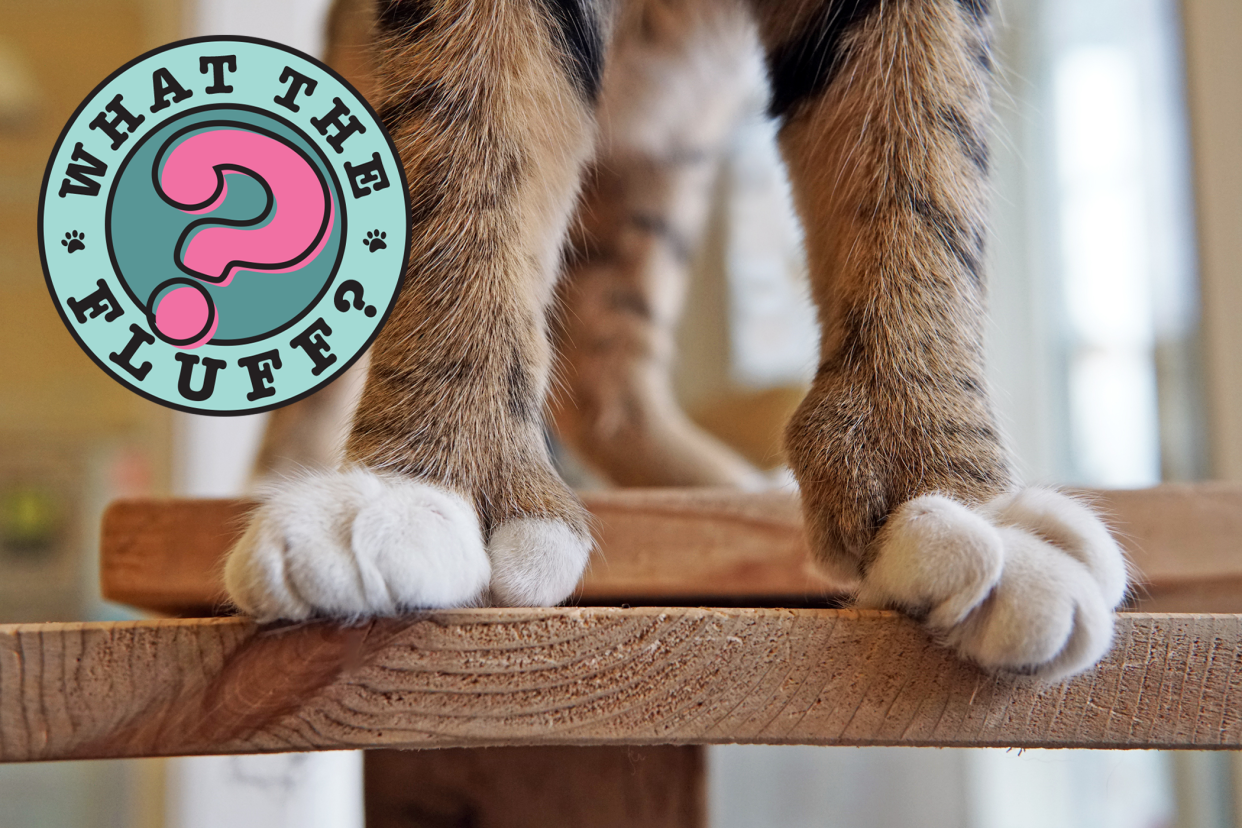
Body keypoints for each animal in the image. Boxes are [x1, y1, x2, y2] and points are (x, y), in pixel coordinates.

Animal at [223, 0, 1127, 680]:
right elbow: (464, 145)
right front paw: (434, 485)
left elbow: (930, 166)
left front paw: (947, 497)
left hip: (676, 149)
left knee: (603, 365)